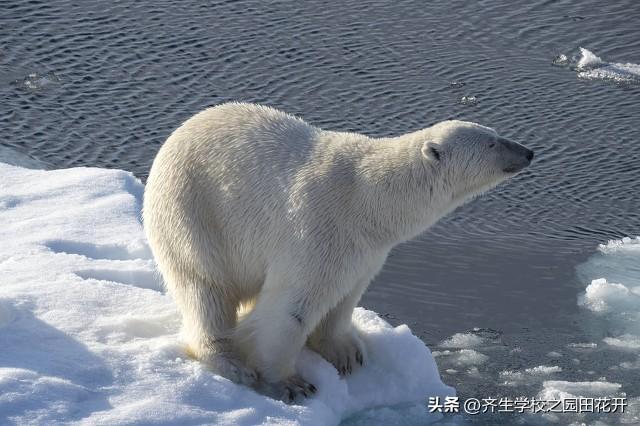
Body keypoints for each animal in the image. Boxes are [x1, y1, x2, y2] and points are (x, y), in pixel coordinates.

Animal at [142, 101, 532, 402]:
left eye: (494, 132)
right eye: (492, 143)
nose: (528, 151)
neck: (369, 199)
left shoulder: (364, 250)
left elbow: (344, 297)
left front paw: (346, 353)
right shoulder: (319, 230)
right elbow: (290, 309)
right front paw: (290, 383)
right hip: (191, 217)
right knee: (205, 291)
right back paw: (230, 362)